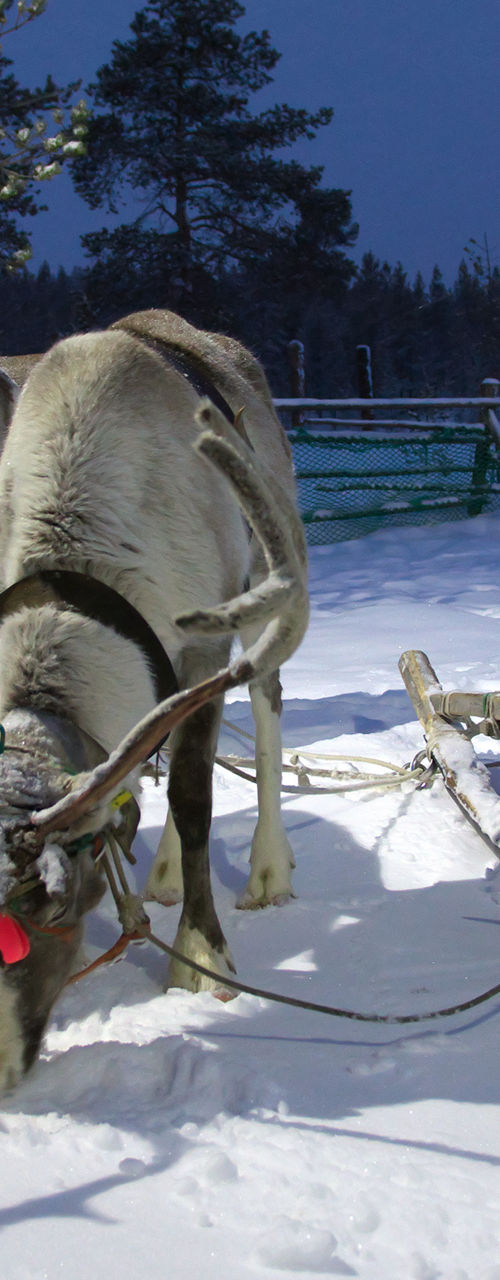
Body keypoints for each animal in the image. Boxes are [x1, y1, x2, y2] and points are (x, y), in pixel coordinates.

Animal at [0, 309, 308, 1090]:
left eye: (54, 900)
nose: (3, 1069)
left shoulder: (203, 641)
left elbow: (195, 796)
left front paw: (201, 955)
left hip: (264, 586)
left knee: (266, 708)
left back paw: (268, 867)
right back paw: (164, 873)